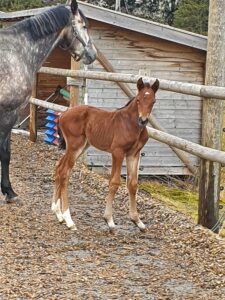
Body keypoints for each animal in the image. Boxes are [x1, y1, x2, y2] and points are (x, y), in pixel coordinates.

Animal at [0, 0, 96, 203]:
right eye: (84, 26)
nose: (92, 54)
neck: (18, 51)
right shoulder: (8, 114)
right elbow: (5, 153)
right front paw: (9, 191)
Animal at [51, 77, 159, 230]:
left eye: (153, 101)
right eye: (138, 99)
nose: (143, 120)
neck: (132, 125)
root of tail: (63, 114)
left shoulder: (134, 154)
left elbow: (133, 184)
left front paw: (137, 220)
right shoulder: (117, 152)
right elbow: (114, 182)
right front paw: (109, 220)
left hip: (81, 146)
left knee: (59, 167)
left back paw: (58, 213)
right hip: (74, 146)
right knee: (65, 173)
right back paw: (69, 220)